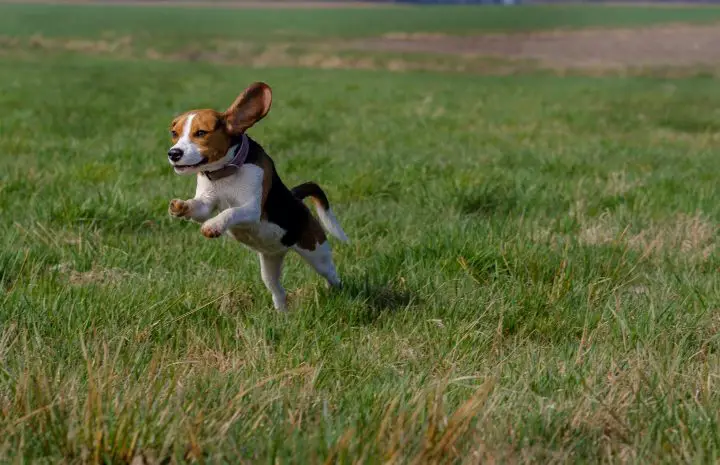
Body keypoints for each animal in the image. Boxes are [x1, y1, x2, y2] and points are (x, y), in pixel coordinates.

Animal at [169, 81, 348, 310]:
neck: (225, 173)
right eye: (174, 133)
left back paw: (336, 291)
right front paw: (180, 206)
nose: (173, 153)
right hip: (269, 264)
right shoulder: (206, 203)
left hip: (317, 253)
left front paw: (214, 226)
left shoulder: (252, 209)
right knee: (278, 291)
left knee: (332, 275)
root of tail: (296, 199)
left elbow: (230, 211)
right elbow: (199, 207)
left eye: (201, 133)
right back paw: (282, 314)